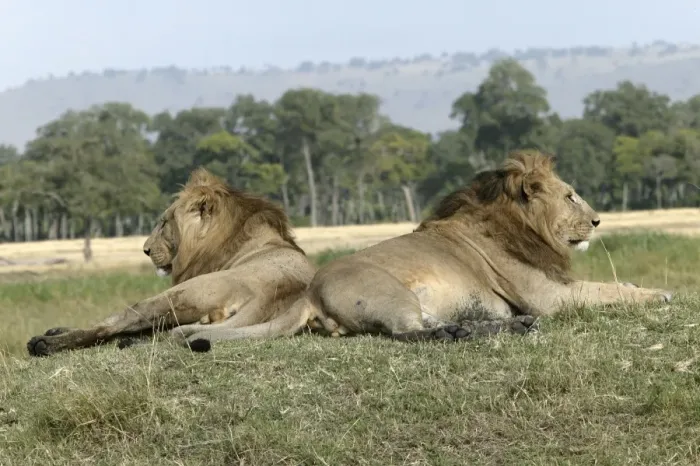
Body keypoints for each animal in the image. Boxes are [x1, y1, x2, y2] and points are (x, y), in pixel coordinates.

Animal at [26, 167, 316, 357]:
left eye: (164, 223)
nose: (145, 249)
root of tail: (271, 295)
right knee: (165, 332)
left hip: (177, 294)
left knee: (112, 326)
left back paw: (45, 343)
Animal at [164, 150, 673, 352]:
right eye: (571, 196)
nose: (598, 221)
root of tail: (309, 292)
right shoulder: (550, 295)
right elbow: (609, 291)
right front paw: (659, 294)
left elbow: (614, 283)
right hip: (393, 293)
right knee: (409, 333)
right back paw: (464, 333)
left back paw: (505, 326)